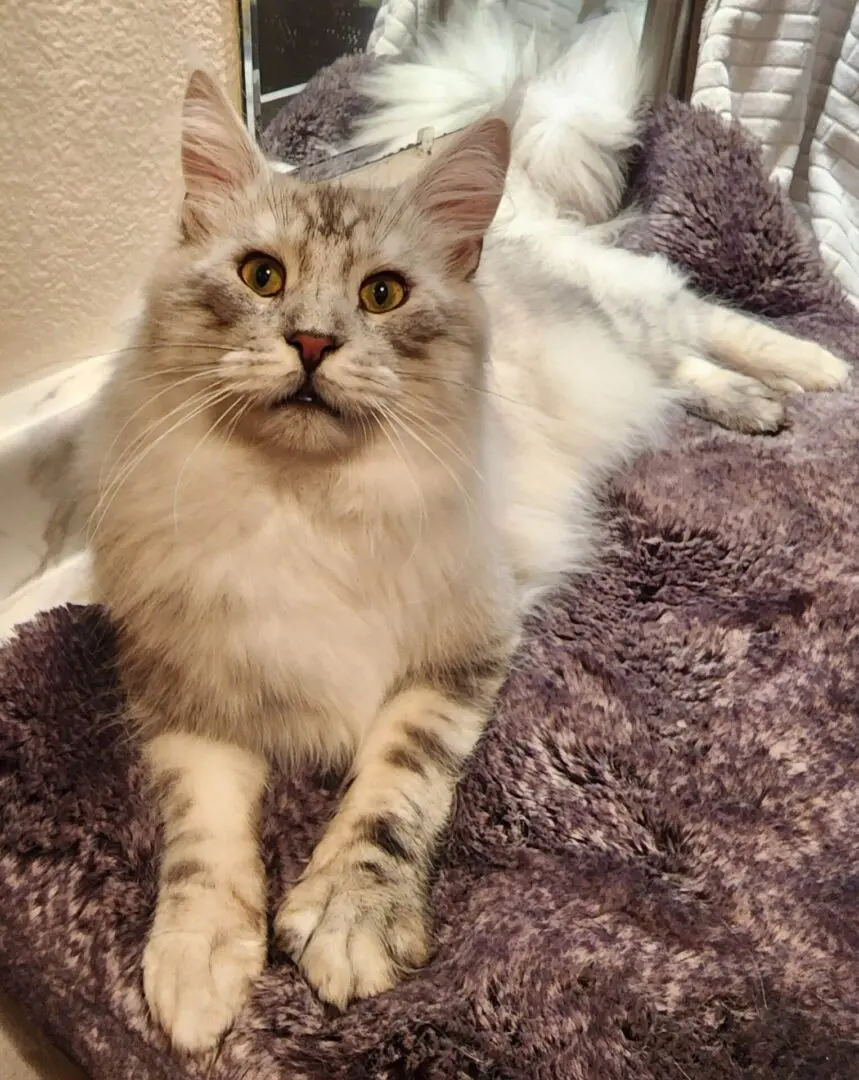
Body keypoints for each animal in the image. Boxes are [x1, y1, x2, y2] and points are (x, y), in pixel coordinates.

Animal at [80, 6, 847, 1054]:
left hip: (632, 318)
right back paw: (756, 404)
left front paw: (348, 929)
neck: (304, 504)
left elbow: (391, 795)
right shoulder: (187, 685)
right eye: (261, 277)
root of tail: (515, 204)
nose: (311, 343)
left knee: (711, 320)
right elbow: (203, 843)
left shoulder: (457, 651)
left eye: (382, 296)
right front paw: (198, 978)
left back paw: (808, 379)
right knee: (679, 369)